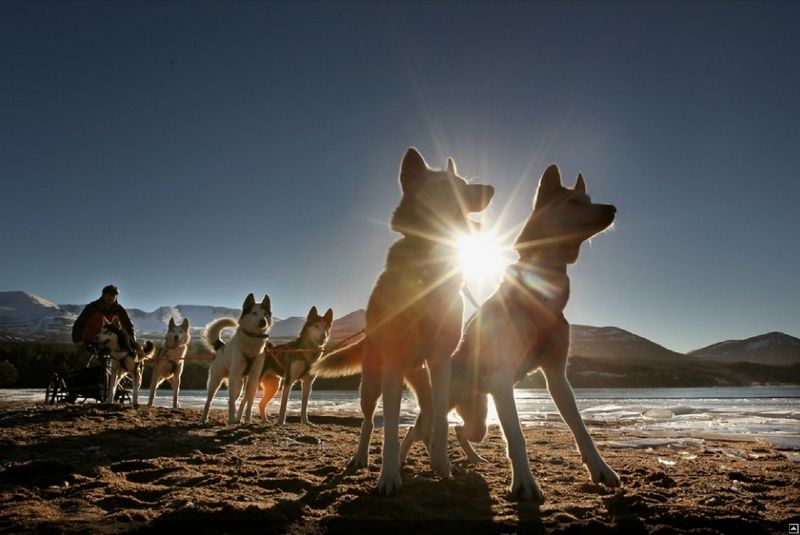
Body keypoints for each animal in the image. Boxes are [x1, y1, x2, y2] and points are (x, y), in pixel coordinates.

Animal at [202, 296, 274, 426]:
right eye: (254, 313)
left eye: (265, 314)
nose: (263, 321)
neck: (252, 340)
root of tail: (221, 346)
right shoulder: (234, 375)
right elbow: (231, 402)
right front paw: (231, 419)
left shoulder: (254, 378)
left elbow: (249, 402)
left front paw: (248, 420)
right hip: (216, 381)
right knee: (210, 401)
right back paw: (205, 418)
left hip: (239, 387)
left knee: (232, 399)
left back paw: (237, 419)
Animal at [312, 149, 494, 496]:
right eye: (452, 186)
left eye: (465, 182)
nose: (490, 189)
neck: (429, 270)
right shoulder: (393, 366)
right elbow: (391, 431)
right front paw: (388, 478)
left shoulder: (441, 361)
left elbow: (441, 424)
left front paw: (443, 467)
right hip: (371, 383)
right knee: (370, 421)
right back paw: (361, 457)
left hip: (423, 382)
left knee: (429, 421)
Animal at [406, 164, 620, 502]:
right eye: (573, 202)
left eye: (589, 199)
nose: (611, 208)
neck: (541, 294)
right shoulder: (502, 379)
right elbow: (516, 436)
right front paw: (525, 483)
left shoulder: (556, 376)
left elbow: (581, 429)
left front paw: (601, 469)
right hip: (445, 406)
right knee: (418, 432)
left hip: (478, 418)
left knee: (458, 430)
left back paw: (471, 458)